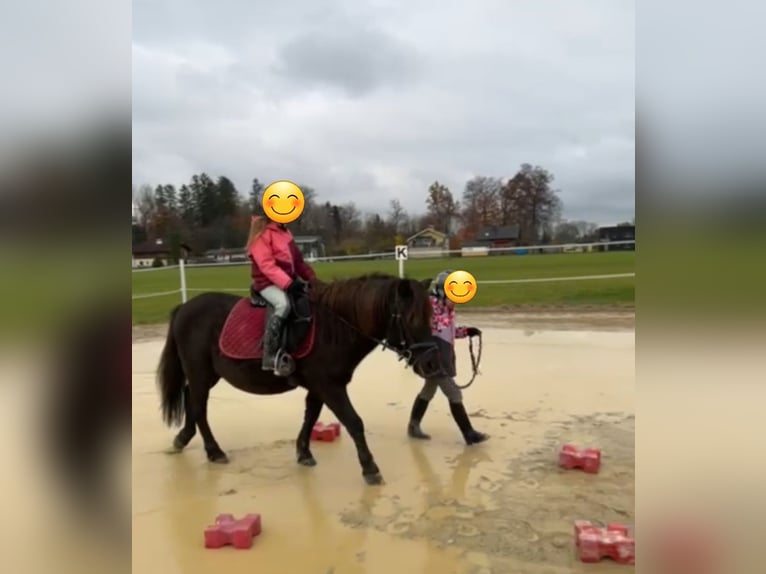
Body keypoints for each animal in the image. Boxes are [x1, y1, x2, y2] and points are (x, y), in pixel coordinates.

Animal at [156, 274, 438, 486]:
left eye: (431, 316)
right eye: (412, 319)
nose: (431, 363)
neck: (335, 326)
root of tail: (184, 307)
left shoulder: (319, 386)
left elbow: (311, 416)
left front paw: (303, 452)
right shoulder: (330, 386)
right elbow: (354, 422)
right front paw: (370, 468)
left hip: (206, 375)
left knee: (191, 400)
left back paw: (183, 438)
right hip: (200, 372)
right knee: (198, 406)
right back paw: (214, 450)